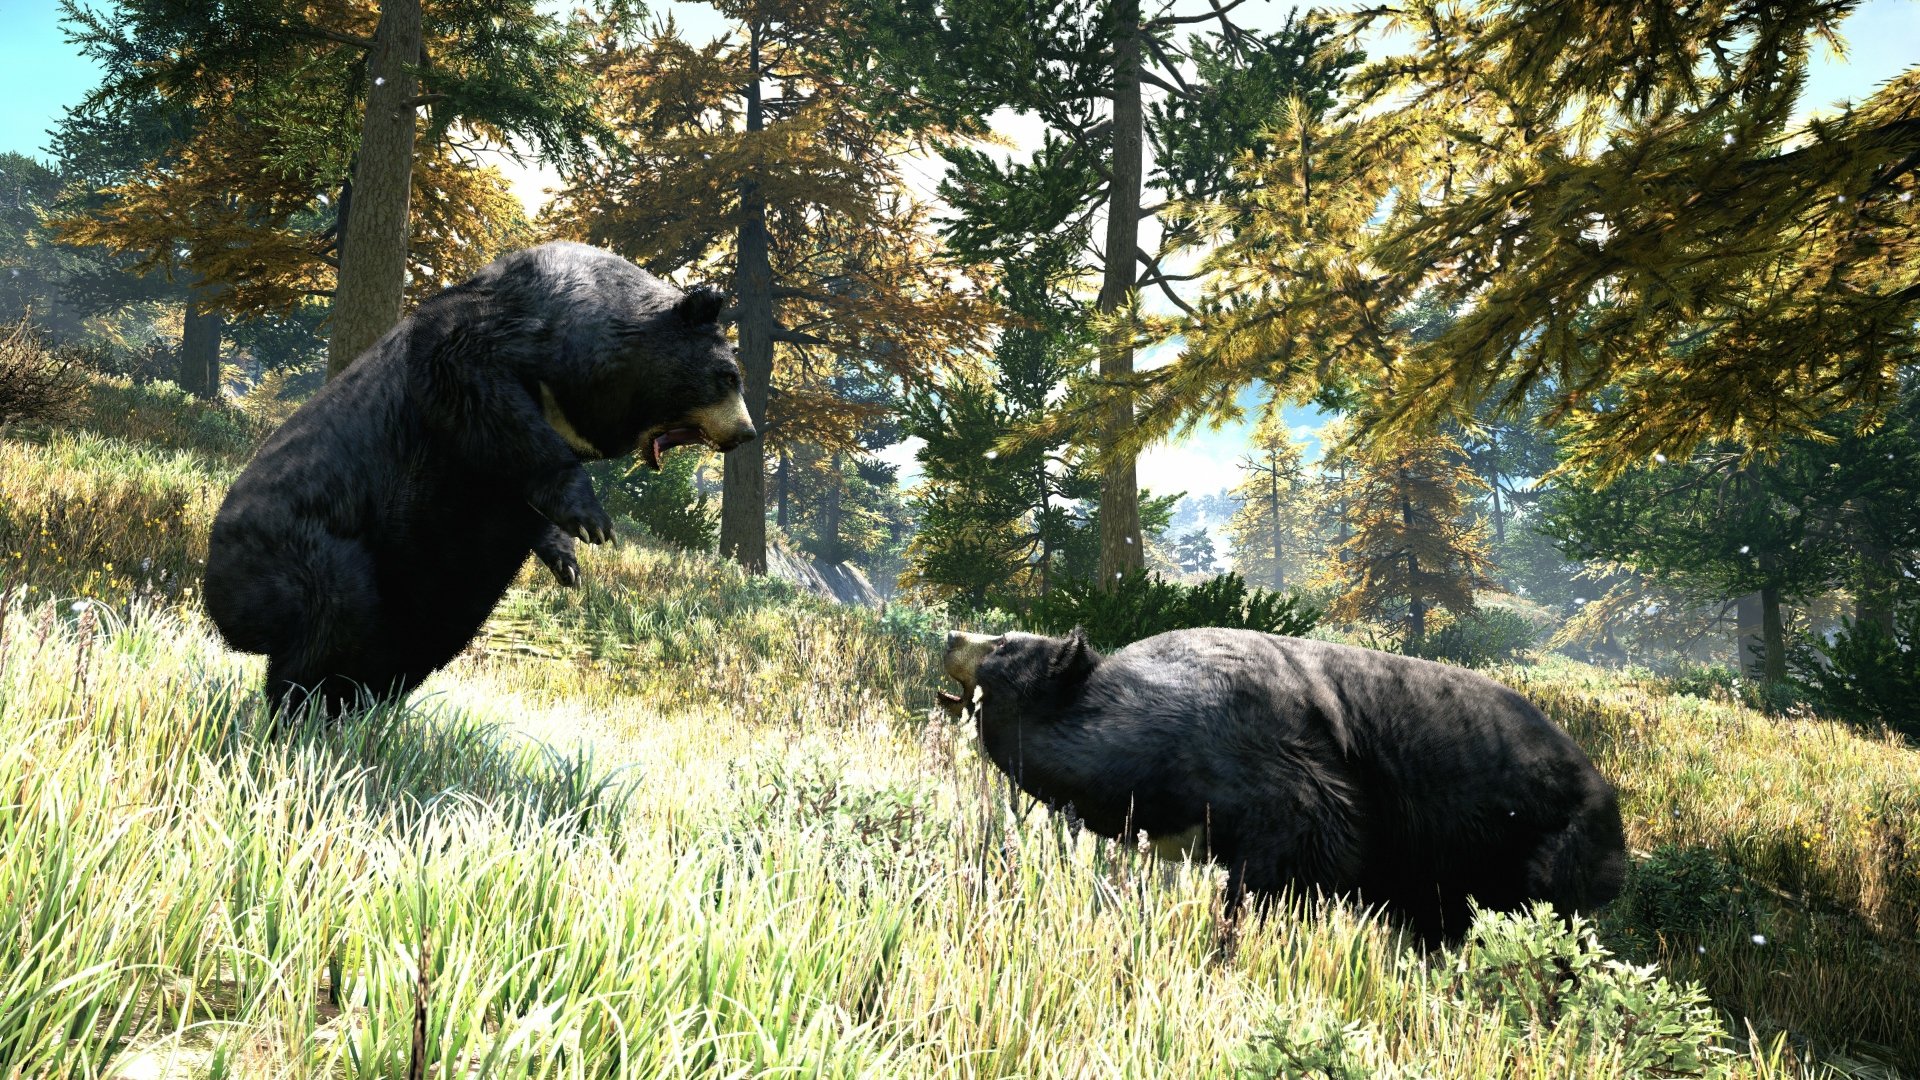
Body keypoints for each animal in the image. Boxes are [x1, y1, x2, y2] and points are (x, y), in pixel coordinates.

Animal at [203, 240, 756, 716]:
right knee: (334, 620)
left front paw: (568, 560)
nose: (746, 433)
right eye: (728, 377)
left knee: (408, 641)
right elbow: (478, 391)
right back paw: (304, 712)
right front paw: (593, 521)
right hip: (307, 547)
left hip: (415, 583)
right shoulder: (491, 346)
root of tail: (224, 605)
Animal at [939, 627, 1625, 943]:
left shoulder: (1262, 754)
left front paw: (1239, 935)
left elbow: (1308, 843)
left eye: (1002, 642)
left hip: (1547, 842)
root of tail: (1605, 788)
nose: (951, 634)